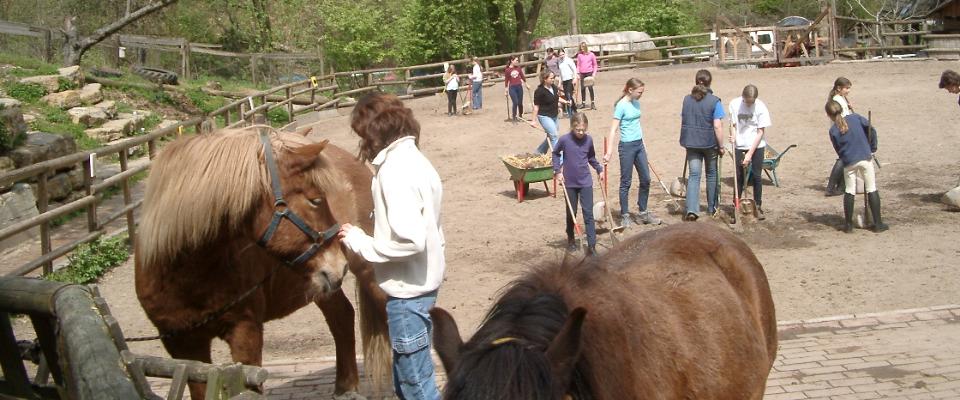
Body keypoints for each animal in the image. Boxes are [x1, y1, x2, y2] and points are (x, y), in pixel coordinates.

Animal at [135, 126, 390, 400]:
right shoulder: (182, 348)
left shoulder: (245, 333)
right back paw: (346, 387)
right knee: (342, 316)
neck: (188, 275)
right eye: (315, 200)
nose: (338, 264)